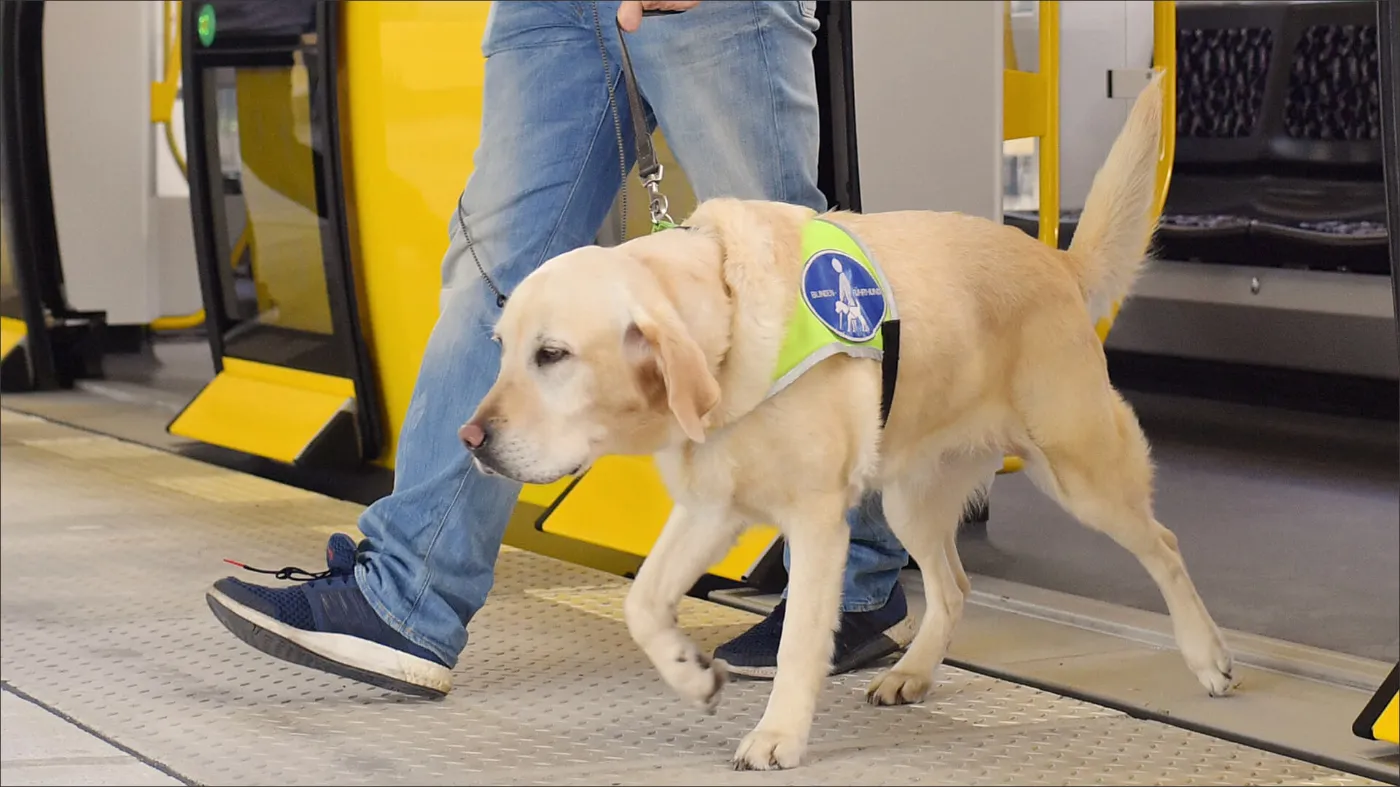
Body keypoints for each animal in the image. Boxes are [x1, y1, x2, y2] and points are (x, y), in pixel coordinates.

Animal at [462, 74, 1237, 767]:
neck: (728, 333)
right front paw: (690, 671)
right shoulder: (712, 507)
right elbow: (643, 601)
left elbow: (799, 640)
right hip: (911, 497)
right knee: (954, 586)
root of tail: (1055, 260)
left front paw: (777, 735)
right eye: (500, 346)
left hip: (1080, 469)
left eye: (552, 354)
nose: (471, 440)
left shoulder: (815, 522)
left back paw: (1208, 657)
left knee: (1164, 545)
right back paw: (912, 673)